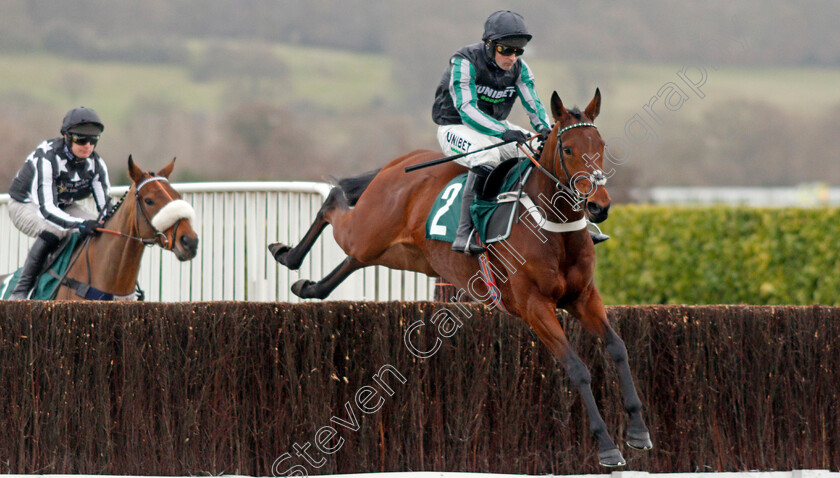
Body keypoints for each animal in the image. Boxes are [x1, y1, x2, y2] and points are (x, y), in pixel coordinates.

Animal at [272, 89, 652, 466]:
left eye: (601, 144)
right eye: (568, 148)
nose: (599, 206)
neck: (553, 228)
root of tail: (401, 161)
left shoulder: (584, 297)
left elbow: (618, 348)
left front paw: (638, 430)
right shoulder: (534, 306)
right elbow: (577, 367)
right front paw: (607, 446)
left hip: (399, 253)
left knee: (350, 261)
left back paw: (307, 284)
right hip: (368, 230)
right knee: (334, 205)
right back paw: (286, 254)